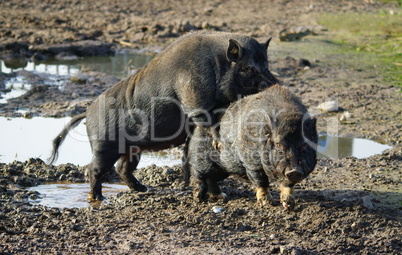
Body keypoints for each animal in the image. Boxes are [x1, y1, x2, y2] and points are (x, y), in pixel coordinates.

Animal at [48, 30, 280, 201]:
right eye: (247, 68)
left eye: (267, 65)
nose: (275, 84)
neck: (218, 64)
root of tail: (87, 112)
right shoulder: (194, 97)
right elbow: (206, 119)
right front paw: (218, 143)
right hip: (103, 145)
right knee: (94, 170)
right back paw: (98, 198)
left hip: (133, 148)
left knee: (122, 168)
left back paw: (143, 190)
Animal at [185, 84, 318, 210]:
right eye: (278, 144)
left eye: (305, 145)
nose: (294, 170)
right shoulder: (251, 162)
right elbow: (261, 180)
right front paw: (267, 203)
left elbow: (287, 184)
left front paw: (289, 205)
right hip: (201, 158)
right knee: (197, 173)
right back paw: (199, 198)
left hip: (223, 169)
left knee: (211, 179)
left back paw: (222, 197)